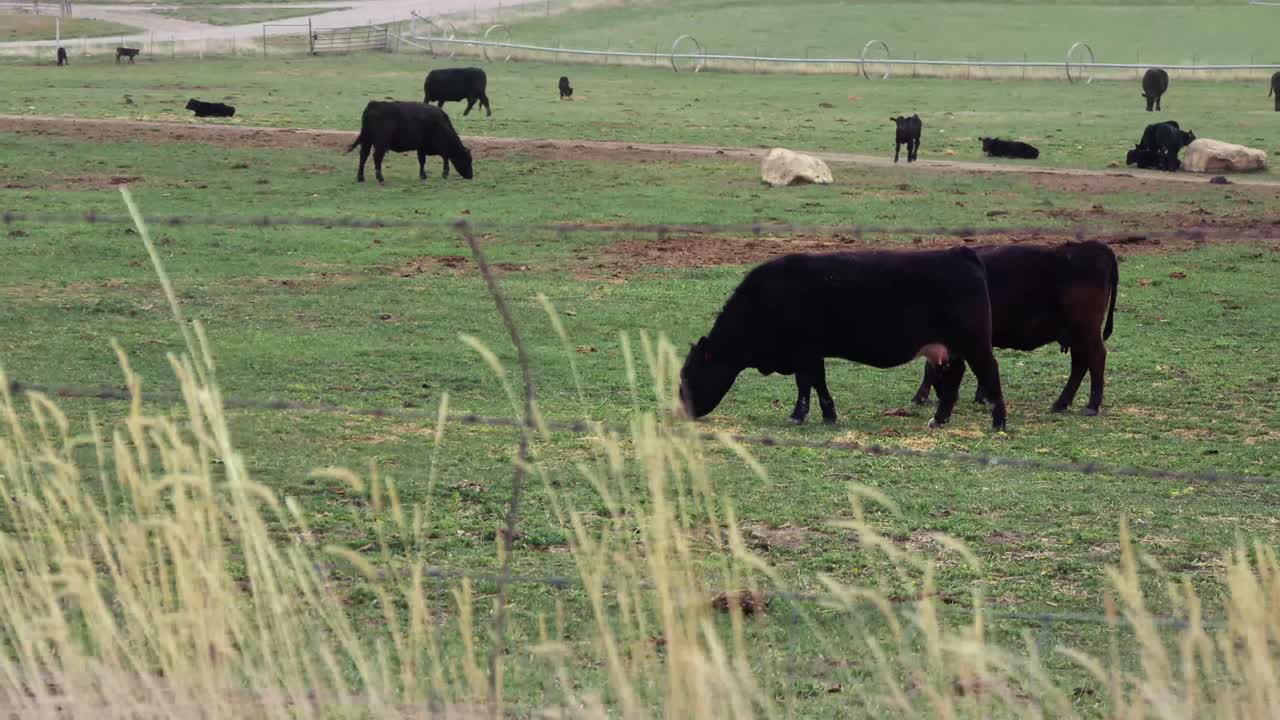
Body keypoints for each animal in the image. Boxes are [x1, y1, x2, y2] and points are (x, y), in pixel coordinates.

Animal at [678, 248, 1008, 432]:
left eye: (689, 375)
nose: (682, 411)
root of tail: (960, 253)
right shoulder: (809, 353)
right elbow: (813, 383)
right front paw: (825, 415)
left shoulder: (805, 351)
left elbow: (808, 383)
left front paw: (802, 416)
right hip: (950, 349)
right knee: (954, 378)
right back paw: (939, 420)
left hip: (975, 343)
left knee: (989, 373)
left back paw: (998, 424)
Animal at [911, 242, 1119, 417]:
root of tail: (1094, 247)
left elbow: (930, 367)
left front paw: (920, 397)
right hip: (1076, 333)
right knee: (1080, 363)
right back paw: (1061, 403)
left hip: (1085, 329)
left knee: (1096, 357)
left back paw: (1092, 405)